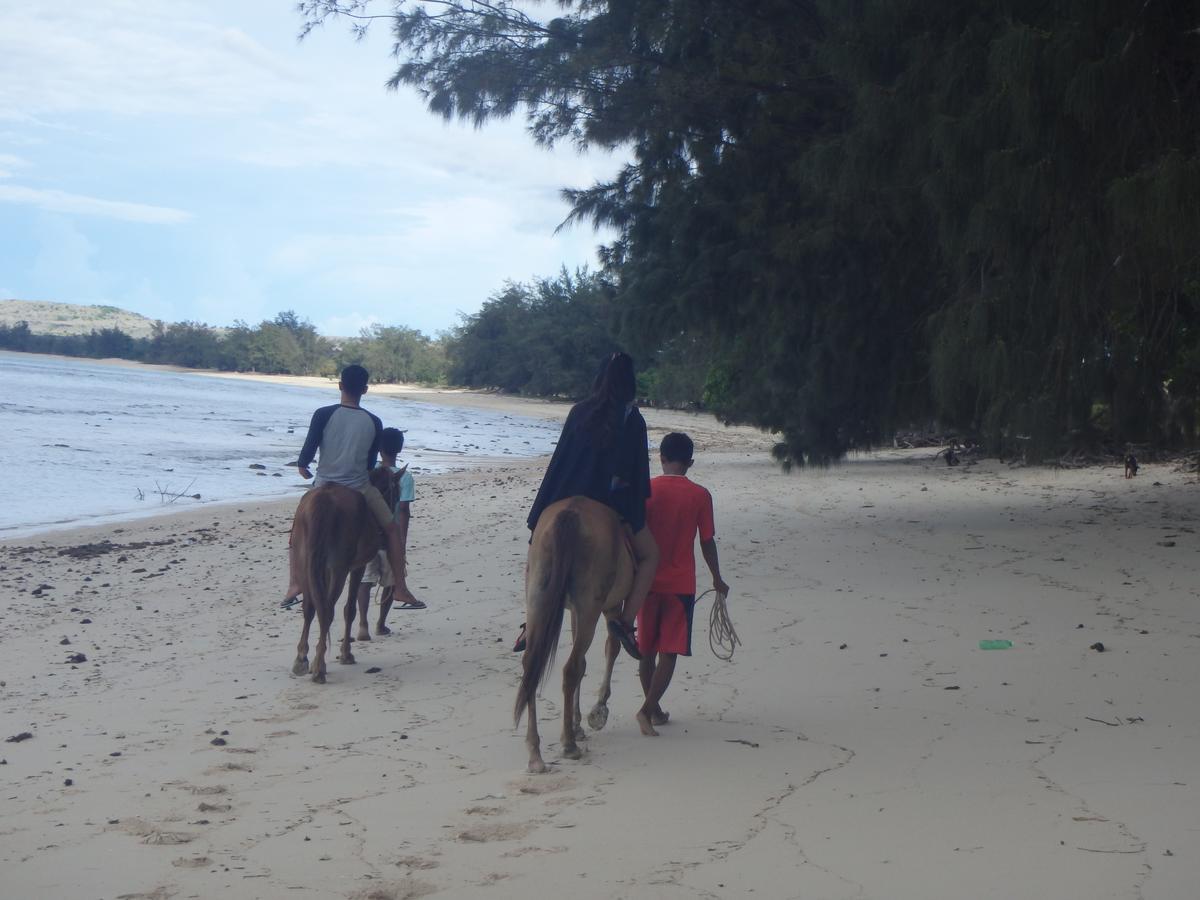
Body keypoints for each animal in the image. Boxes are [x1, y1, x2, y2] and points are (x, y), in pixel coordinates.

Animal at [290, 465, 403, 681]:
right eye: (398, 492)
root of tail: (324, 499)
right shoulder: (357, 567)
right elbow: (350, 609)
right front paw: (346, 654)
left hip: (305, 563)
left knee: (311, 608)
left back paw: (302, 659)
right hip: (339, 569)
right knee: (327, 610)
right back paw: (319, 667)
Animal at [513, 496, 633, 772]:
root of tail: (570, 513)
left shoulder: (575, 612)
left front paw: (577, 722)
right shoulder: (610, 607)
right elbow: (611, 648)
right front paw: (597, 711)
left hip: (537, 597)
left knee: (532, 665)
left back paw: (535, 752)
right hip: (591, 606)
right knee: (571, 667)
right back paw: (568, 744)